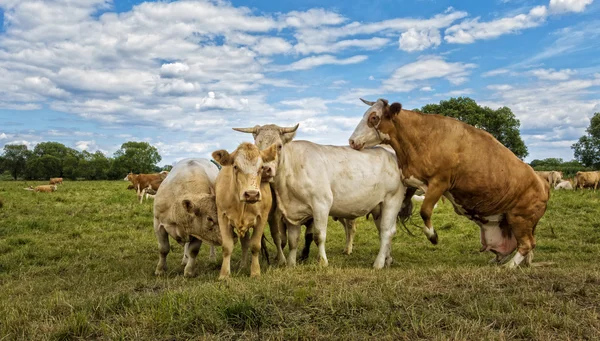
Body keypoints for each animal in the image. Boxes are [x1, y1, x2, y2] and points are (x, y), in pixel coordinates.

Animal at [212, 142, 278, 278]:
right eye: (235, 166)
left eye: (261, 167)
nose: (252, 194)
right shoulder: (222, 217)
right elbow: (227, 247)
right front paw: (224, 274)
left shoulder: (262, 218)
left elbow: (255, 245)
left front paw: (255, 272)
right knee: (244, 243)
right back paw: (242, 265)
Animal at [346, 98, 548, 268]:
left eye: (373, 117)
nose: (352, 141)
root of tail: (542, 183)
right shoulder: (411, 179)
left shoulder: (440, 182)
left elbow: (425, 210)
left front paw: (432, 235)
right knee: (518, 246)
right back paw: (500, 261)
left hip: (520, 217)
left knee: (527, 244)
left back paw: (510, 266)